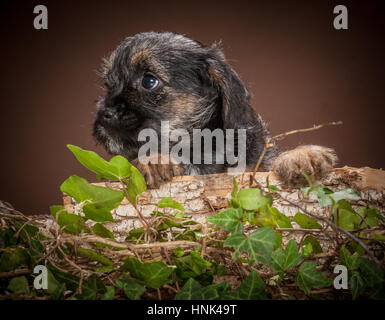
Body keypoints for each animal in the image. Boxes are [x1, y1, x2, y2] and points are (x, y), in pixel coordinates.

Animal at [94, 31, 336, 188]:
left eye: (149, 81)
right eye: (108, 84)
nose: (105, 114)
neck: (203, 147)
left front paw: (301, 155)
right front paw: (154, 160)